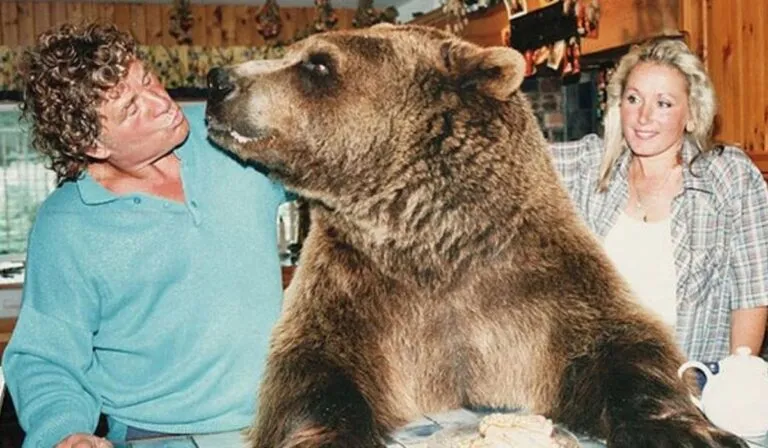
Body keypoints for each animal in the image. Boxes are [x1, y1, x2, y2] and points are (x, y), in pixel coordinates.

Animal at [204, 24, 746, 448]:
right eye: (298, 53)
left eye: (316, 63)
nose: (218, 81)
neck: (432, 238)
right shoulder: (357, 284)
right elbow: (312, 369)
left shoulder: (533, 280)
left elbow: (621, 346)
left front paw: (690, 431)